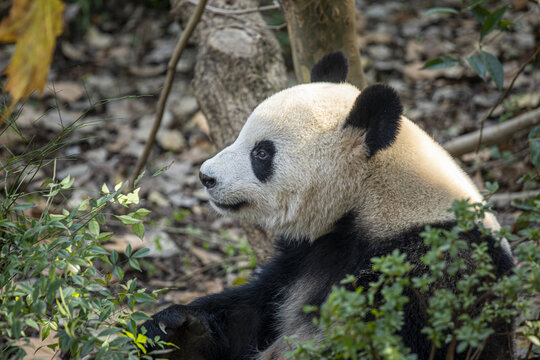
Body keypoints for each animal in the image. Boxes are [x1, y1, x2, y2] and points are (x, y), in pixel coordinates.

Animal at [142, 52, 516, 358]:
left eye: (261, 152)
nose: (206, 176)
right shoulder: (305, 256)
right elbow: (252, 312)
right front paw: (180, 330)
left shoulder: (431, 264)